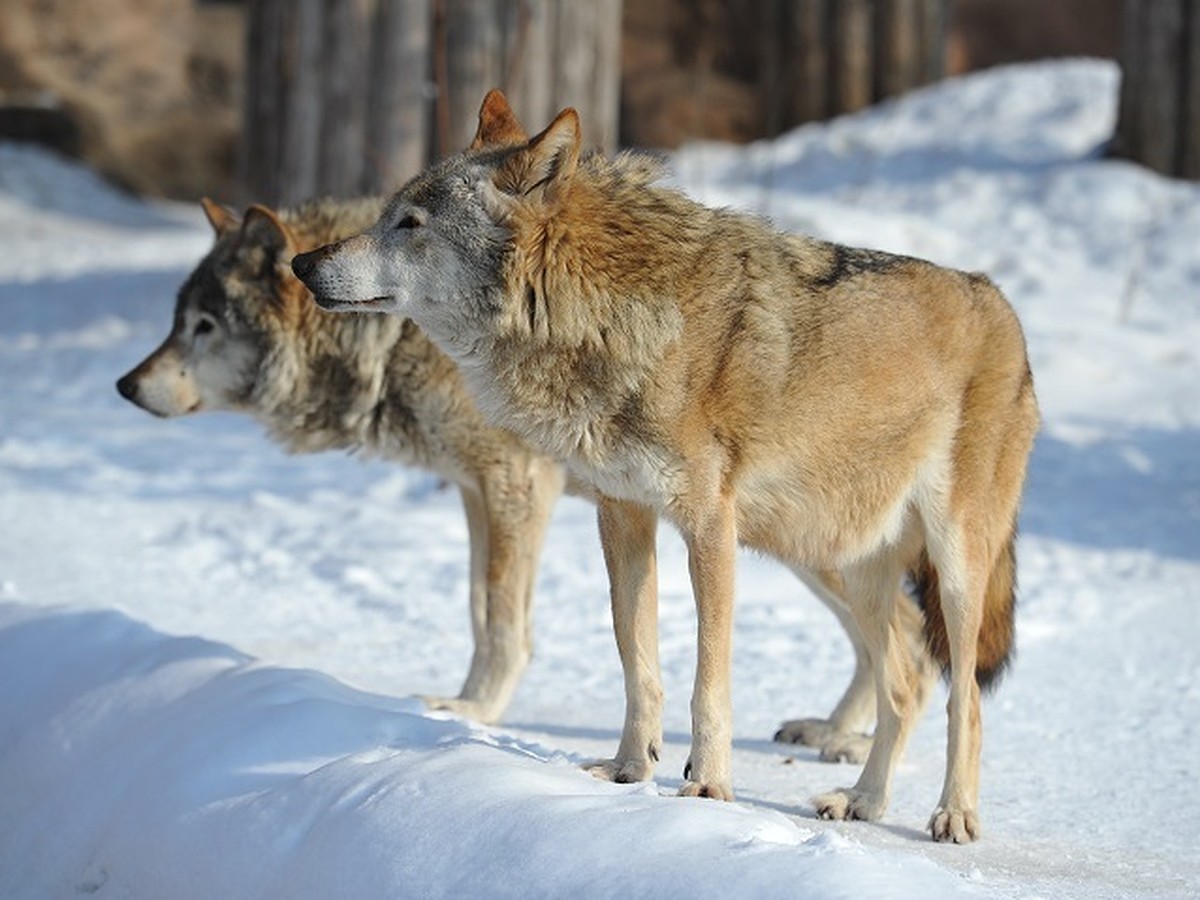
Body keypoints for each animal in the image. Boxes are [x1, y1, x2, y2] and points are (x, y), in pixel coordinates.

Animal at [112, 184, 921, 753]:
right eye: (175, 323)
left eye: (204, 327)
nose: (123, 385)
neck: (395, 339)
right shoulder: (474, 491)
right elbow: (478, 608)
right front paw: (461, 702)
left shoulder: (514, 486)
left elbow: (503, 620)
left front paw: (476, 709)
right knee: (887, 633)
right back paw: (837, 734)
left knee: (907, 629)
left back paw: (853, 746)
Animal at [290, 93, 1041, 844]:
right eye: (387, 214)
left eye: (410, 224)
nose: (300, 263)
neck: (601, 314)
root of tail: (1002, 304)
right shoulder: (622, 517)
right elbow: (636, 660)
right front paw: (628, 770)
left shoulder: (708, 527)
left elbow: (709, 679)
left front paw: (707, 786)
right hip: (845, 560)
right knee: (906, 684)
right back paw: (862, 800)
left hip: (951, 568)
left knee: (965, 698)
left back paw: (954, 813)